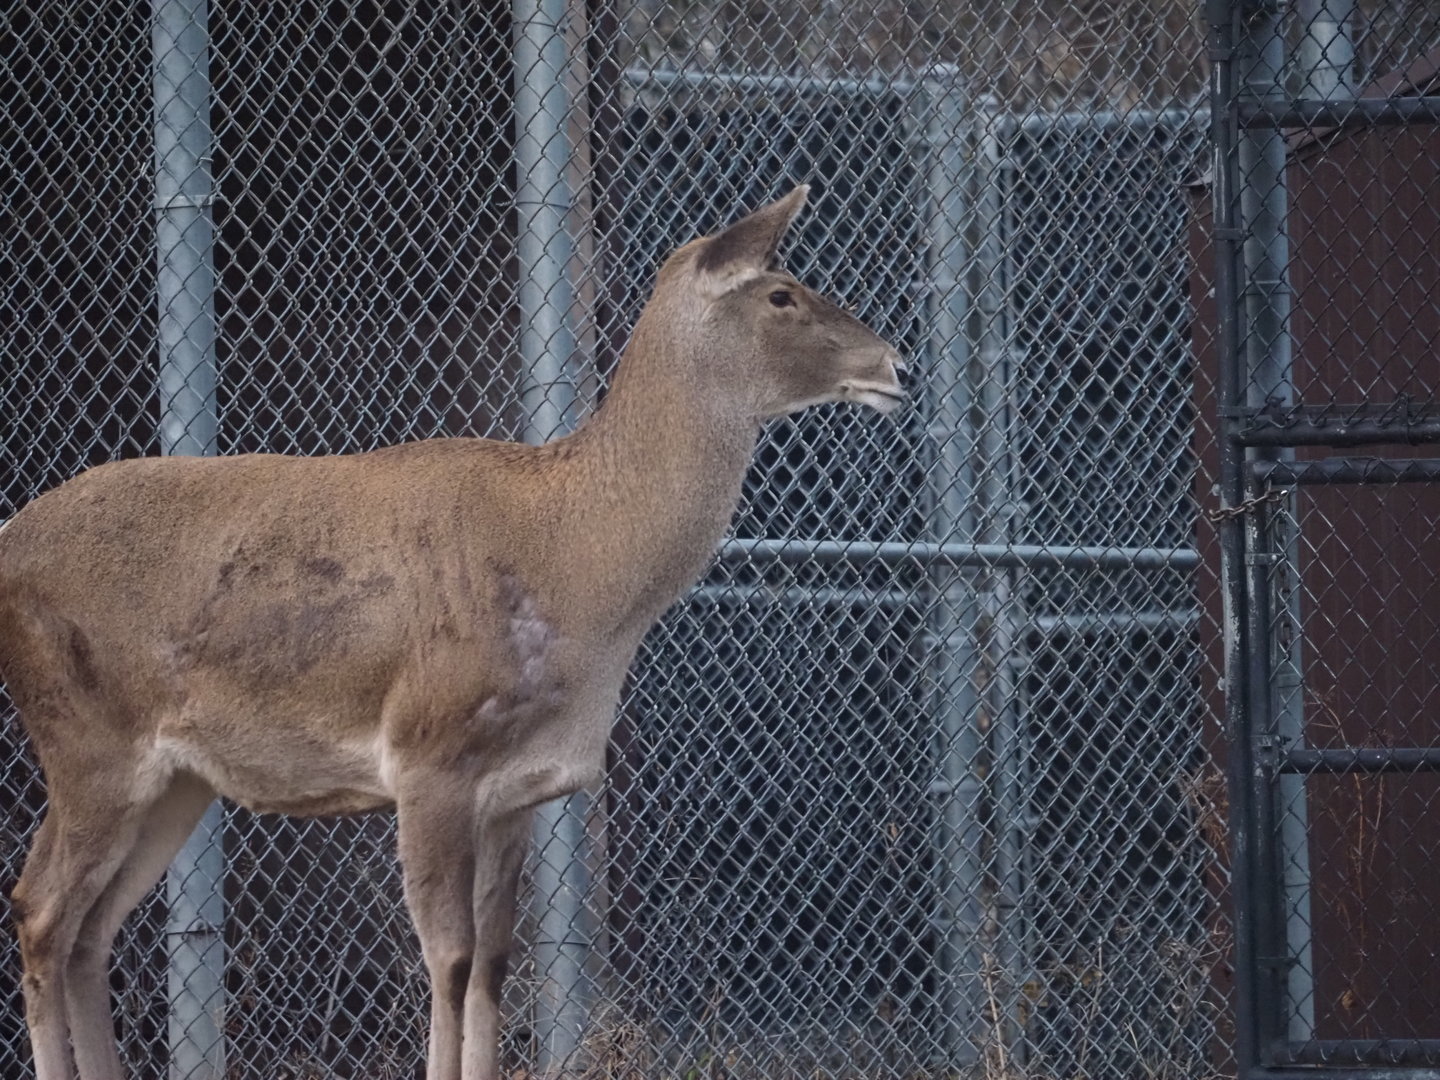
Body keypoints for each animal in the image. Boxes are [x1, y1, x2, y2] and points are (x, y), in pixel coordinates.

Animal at [0, 185, 905, 1080]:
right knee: (40, 910)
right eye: (781, 293)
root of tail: (9, 543)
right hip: (86, 740)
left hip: (176, 780)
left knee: (90, 928)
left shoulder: (516, 787)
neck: (578, 572)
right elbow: (451, 957)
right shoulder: (429, 753)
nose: (896, 365)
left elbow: (495, 963)